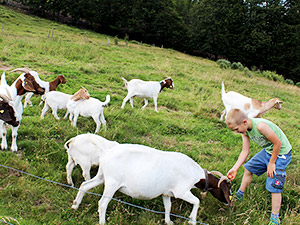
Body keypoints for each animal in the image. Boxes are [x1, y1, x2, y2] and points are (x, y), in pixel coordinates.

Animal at [71, 137, 233, 225]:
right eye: (227, 189)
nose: (230, 203)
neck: (195, 173)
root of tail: (105, 152)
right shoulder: (181, 191)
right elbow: (197, 201)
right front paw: (192, 220)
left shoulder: (166, 193)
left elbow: (168, 207)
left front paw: (168, 221)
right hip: (112, 183)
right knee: (102, 203)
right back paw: (102, 221)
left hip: (102, 176)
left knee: (85, 185)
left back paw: (75, 205)